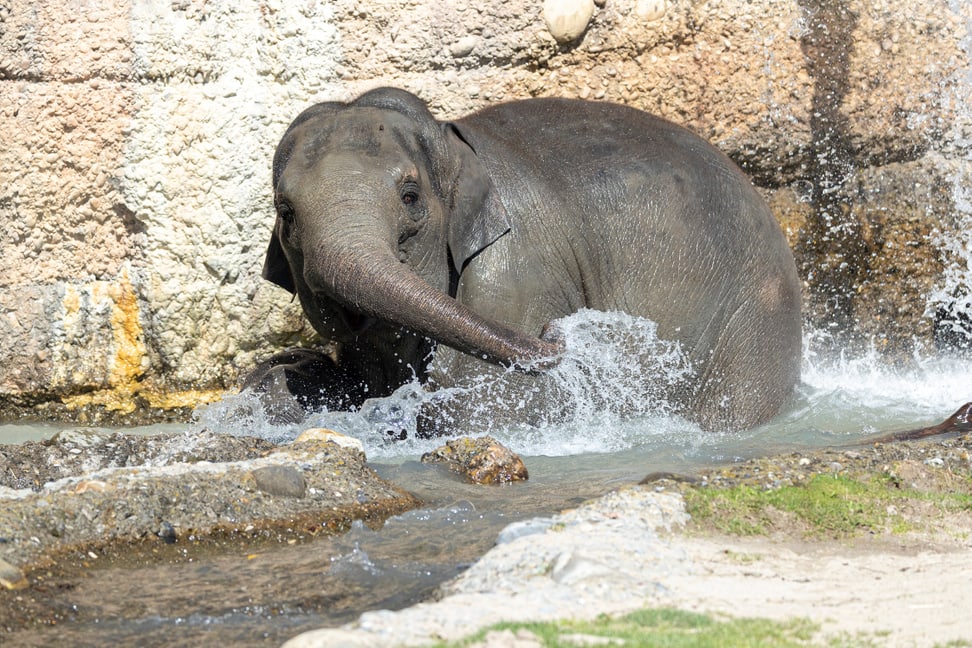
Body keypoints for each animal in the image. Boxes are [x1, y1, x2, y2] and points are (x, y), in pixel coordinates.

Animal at [245, 85, 804, 430]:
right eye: (285, 213)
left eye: (410, 196)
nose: (559, 332)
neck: (453, 143)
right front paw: (287, 373)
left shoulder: (512, 274)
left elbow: (491, 403)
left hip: (752, 322)